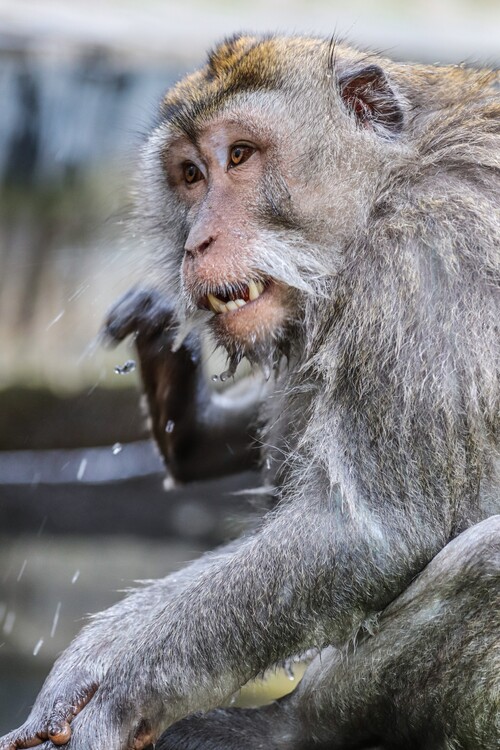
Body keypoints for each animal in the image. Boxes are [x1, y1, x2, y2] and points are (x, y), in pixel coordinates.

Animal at [1, 33, 499, 750]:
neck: (393, 179)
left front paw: (108, 682)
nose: (196, 243)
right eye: (190, 175)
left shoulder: (430, 256)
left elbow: (366, 532)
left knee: (488, 558)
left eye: (239, 155)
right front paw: (185, 407)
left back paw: (292, 726)